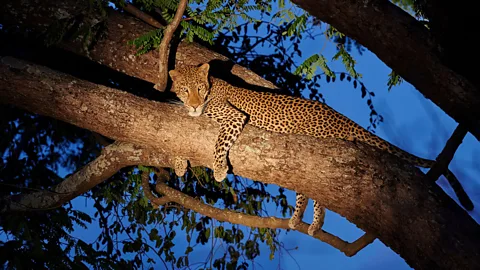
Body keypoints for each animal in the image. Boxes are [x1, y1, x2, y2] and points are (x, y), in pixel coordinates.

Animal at [167, 63, 470, 236]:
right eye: (185, 89)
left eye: (199, 88)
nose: (194, 104)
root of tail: (337, 116)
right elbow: (180, 141)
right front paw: (180, 163)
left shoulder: (233, 117)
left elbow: (219, 142)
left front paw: (218, 169)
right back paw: (313, 222)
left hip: (313, 150)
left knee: (311, 188)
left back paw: (300, 219)